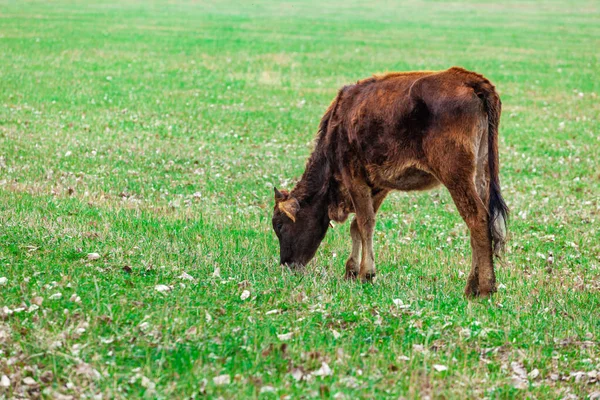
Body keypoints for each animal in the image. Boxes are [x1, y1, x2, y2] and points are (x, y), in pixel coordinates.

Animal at [274, 66, 508, 296]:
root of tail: (469, 78)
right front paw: (351, 271)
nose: (286, 264)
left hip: (455, 175)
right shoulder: (378, 185)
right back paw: (472, 287)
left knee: (477, 219)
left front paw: (365, 274)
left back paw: (485, 289)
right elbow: (356, 226)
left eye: (279, 224)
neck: (337, 125)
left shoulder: (354, 177)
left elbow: (365, 222)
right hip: (480, 174)